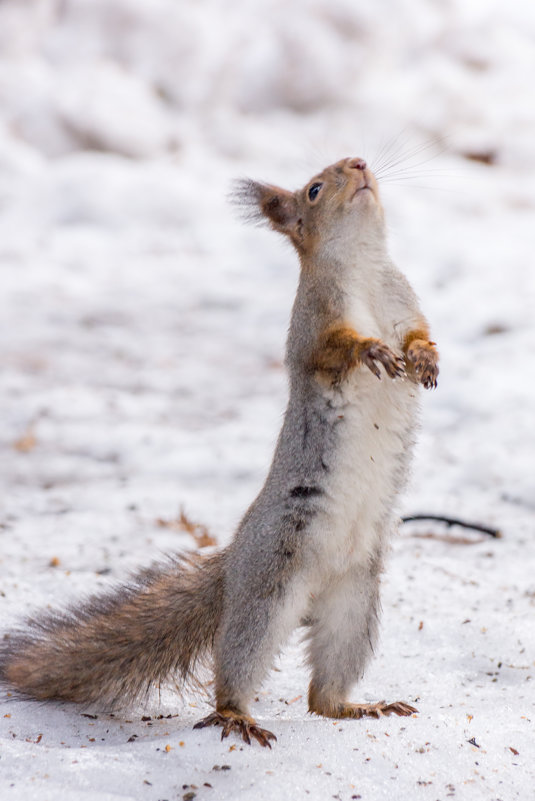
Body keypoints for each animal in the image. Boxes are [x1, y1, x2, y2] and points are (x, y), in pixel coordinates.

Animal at [1, 159, 440, 748]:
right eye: (314, 190)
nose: (359, 164)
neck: (364, 265)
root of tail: (234, 564)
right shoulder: (312, 324)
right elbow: (332, 350)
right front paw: (369, 349)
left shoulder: (405, 302)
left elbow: (420, 336)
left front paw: (424, 360)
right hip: (268, 590)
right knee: (238, 664)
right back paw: (236, 715)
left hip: (355, 605)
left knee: (321, 696)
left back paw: (356, 706)